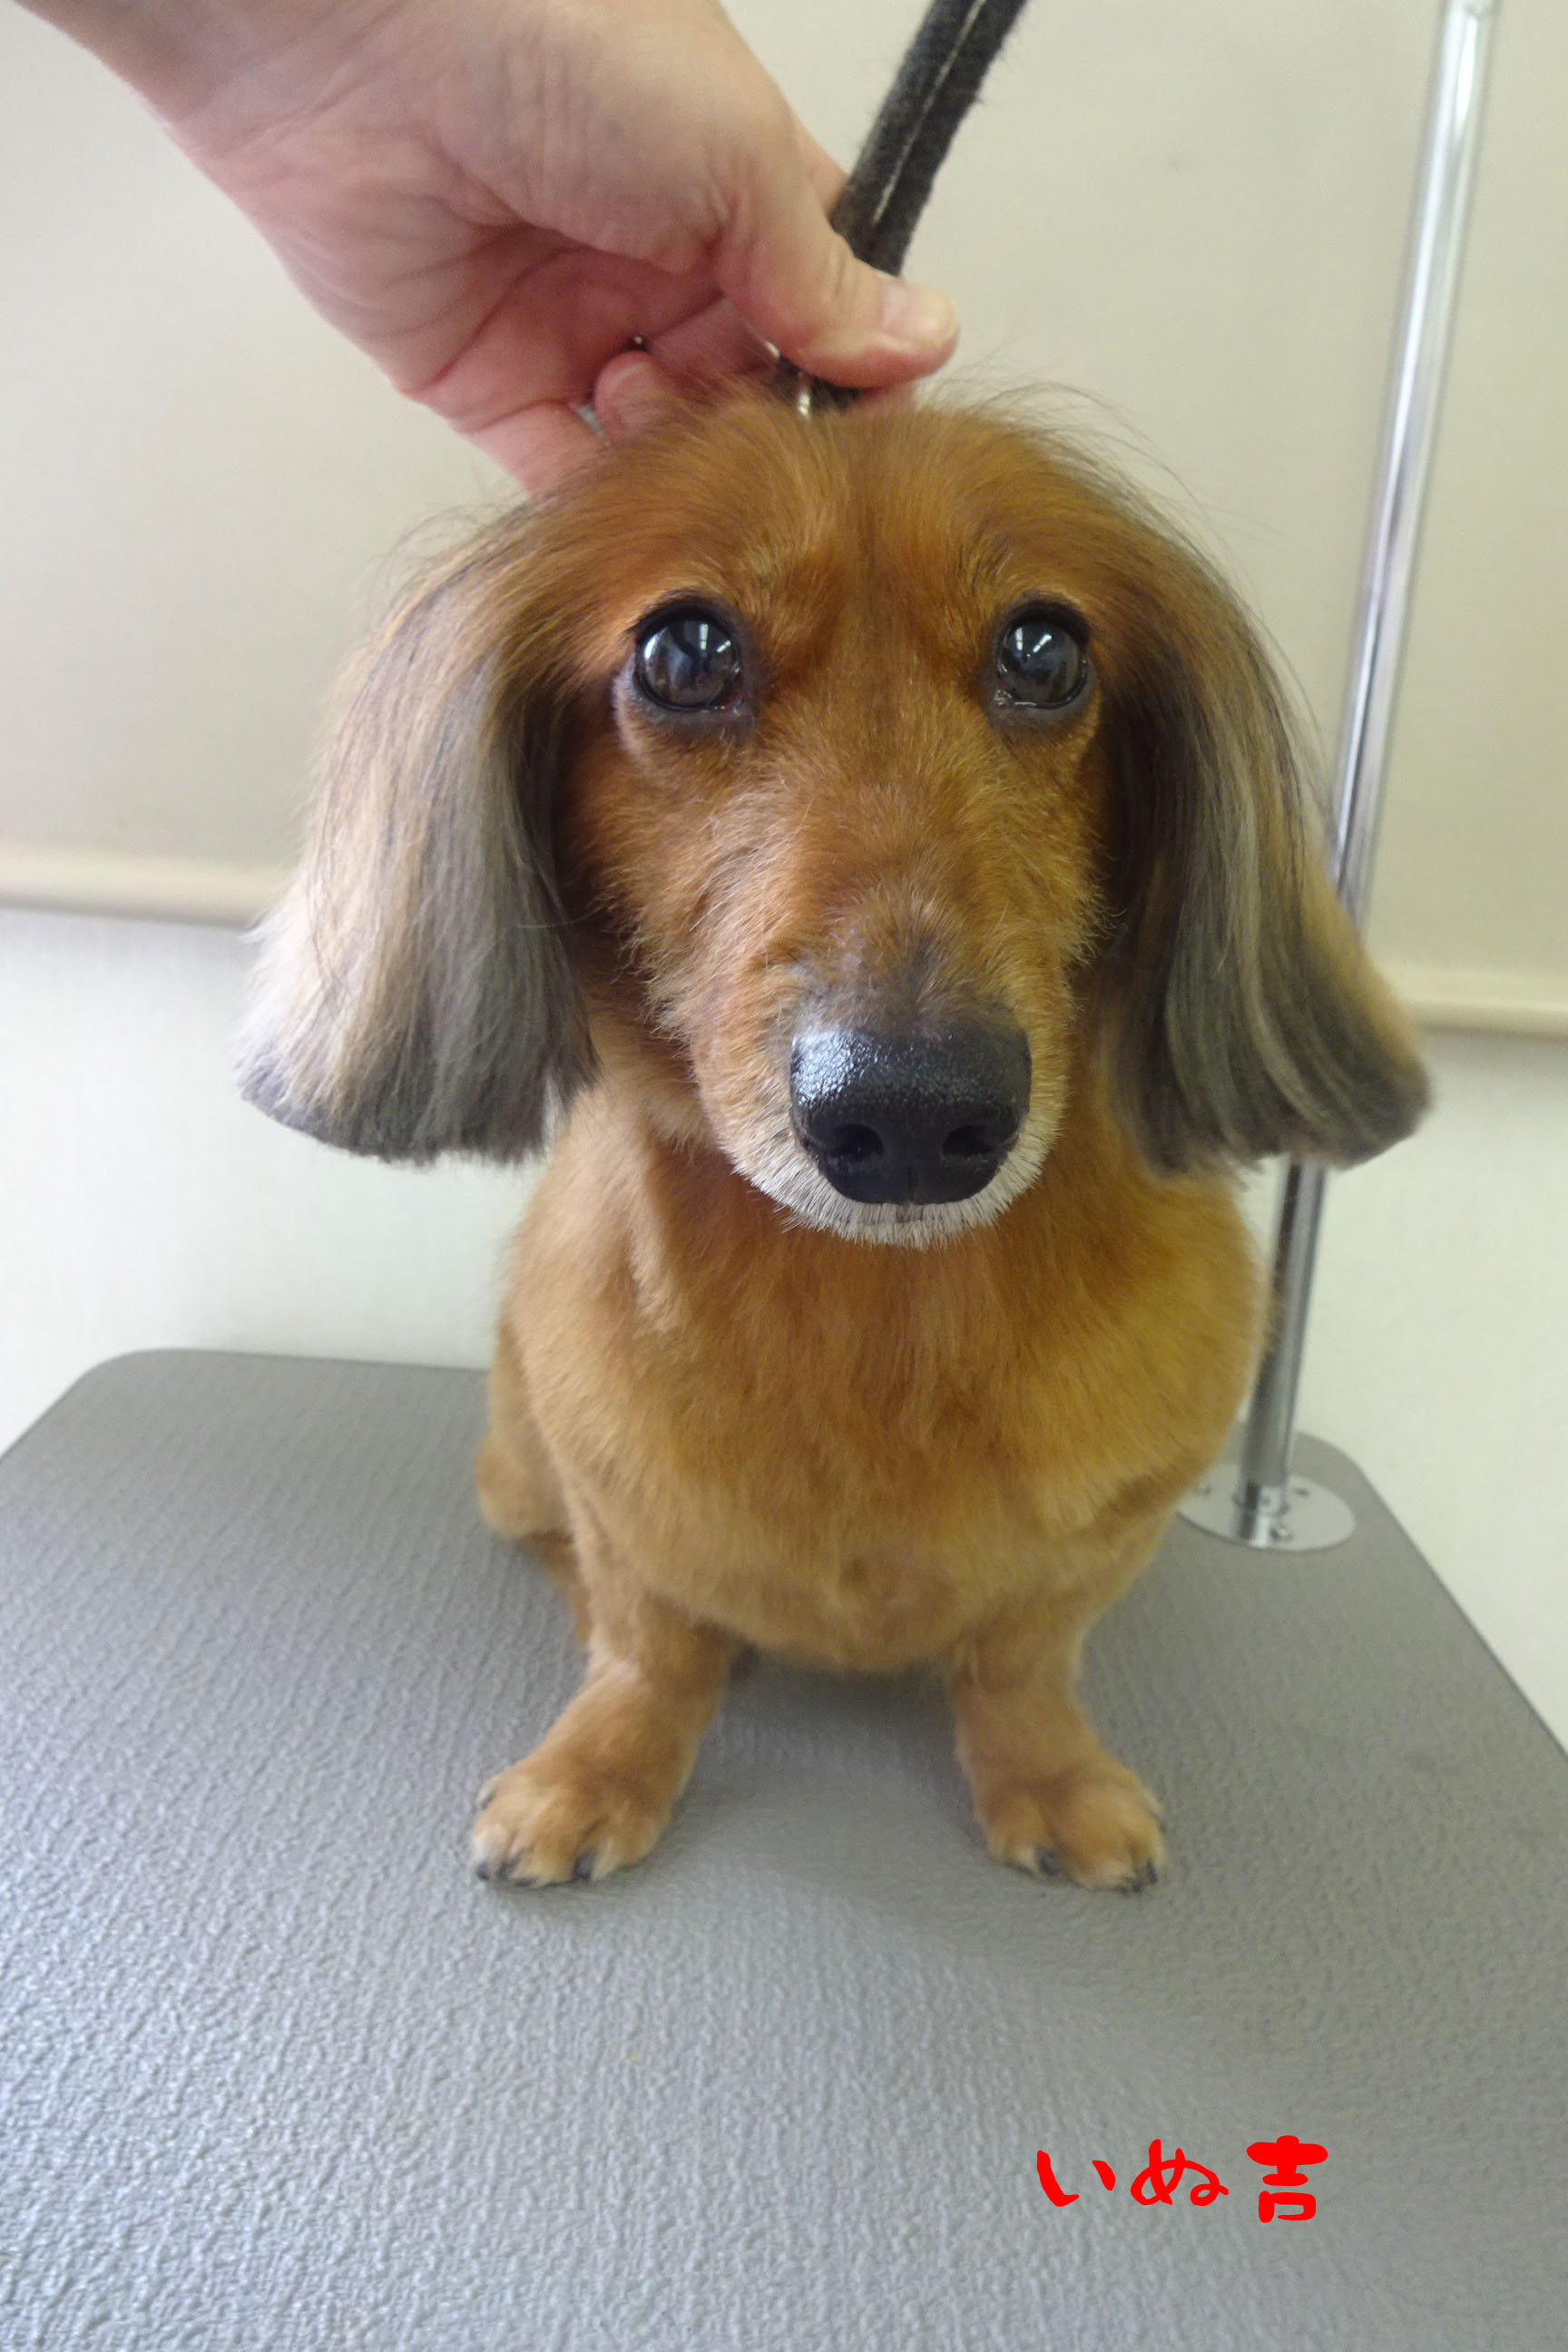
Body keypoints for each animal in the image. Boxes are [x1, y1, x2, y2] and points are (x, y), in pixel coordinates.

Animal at [242, 391, 1427, 1892]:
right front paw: (598, 1766)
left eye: (1045, 650)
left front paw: (1050, 1775)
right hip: (516, 1461)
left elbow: (1025, 1661)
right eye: (684, 653)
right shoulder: (619, 1498)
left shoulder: (1109, 1534)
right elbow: (647, 1645)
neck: (886, 1310)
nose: (912, 1112)